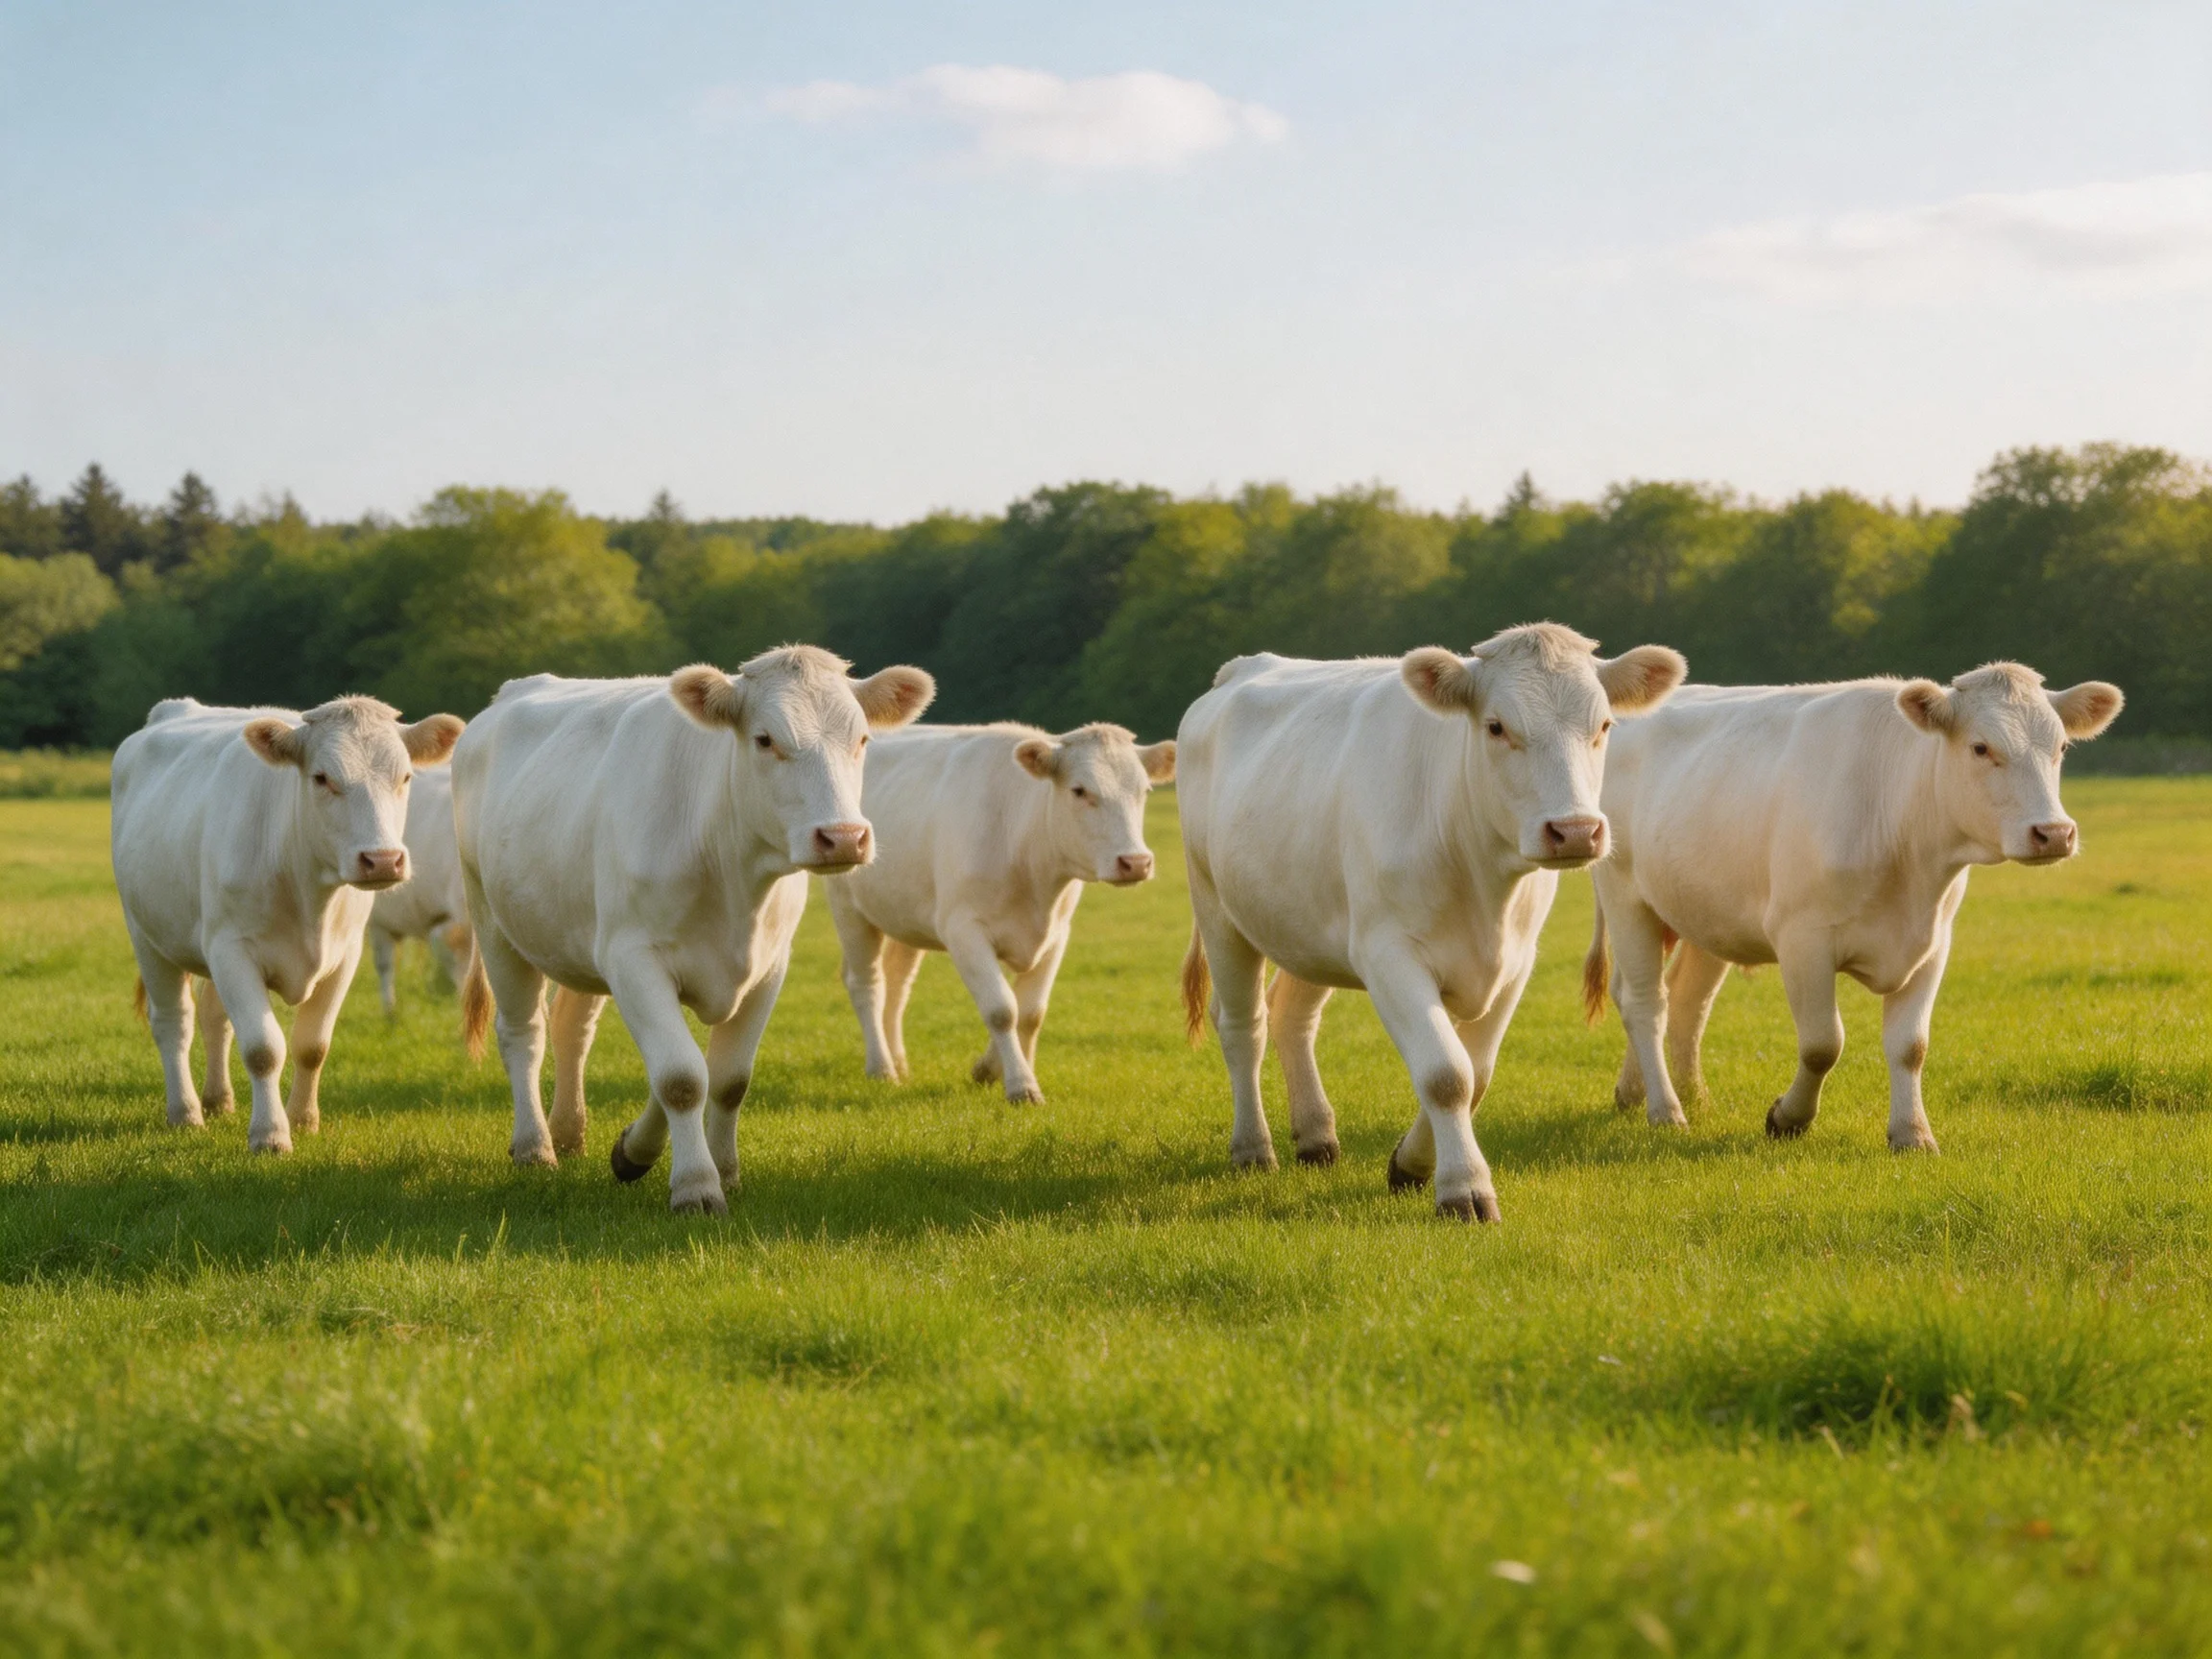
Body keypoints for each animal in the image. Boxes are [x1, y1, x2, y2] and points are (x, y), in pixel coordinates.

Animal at [452, 646, 935, 1213]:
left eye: (861, 739)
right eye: (765, 739)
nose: (843, 837)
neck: (734, 878)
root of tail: (514, 691)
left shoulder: (769, 967)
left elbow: (726, 1079)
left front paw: (700, 1165)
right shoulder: (633, 958)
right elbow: (682, 1077)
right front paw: (696, 1186)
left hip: (577, 932)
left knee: (572, 1027)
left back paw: (569, 1133)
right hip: (492, 918)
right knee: (523, 1032)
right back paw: (535, 1147)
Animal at [825, 722, 1176, 1102]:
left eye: (1144, 790)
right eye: (1080, 790)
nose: (1136, 862)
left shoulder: (1057, 934)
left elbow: (1031, 1013)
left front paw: (995, 1069)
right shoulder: (963, 931)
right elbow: (1002, 1009)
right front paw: (1021, 1085)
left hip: (904, 915)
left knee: (897, 984)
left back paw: (899, 1062)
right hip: (848, 908)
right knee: (867, 983)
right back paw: (882, 1068)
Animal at [1177, 623, 1686, 1221]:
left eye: (1604, 725)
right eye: (1496, 726)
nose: (1577, 830)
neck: (1481, 879)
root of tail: (1243, 668)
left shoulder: (1517, 962)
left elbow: (1476, 1072)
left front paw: (1409, 1164)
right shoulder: (1388, 954)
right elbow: (1446, 1073)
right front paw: (1464, 1189)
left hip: (1309, 924)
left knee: (1291, 1017)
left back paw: (1316, 1136)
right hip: (1215, 905)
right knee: (1243, 1024)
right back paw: (1254, 1148)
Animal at [1582, 663, 2124, 1151]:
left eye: (2061, 748)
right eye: (1980, 747)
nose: (2054, 832)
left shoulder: (1933, 944)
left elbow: (1911, 1047)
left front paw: (1912, 1133)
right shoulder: (1803, 940)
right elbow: (1823, 1044)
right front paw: (1788, 1118)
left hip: (1705, 914)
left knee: (1686, 1000)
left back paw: (1674, 1096)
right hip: (1625, 895)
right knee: (1645, 1001)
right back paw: (1666, 1110)